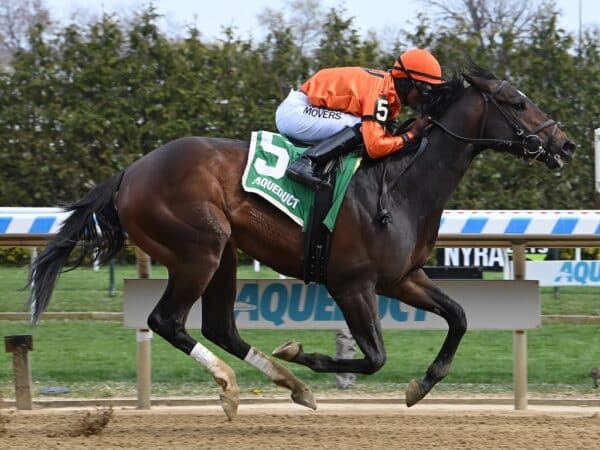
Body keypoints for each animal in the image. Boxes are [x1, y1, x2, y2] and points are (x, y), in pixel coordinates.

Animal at [29, 59, 576, 418]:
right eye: (518, 102)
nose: (566, 143)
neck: (402, 184)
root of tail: (130, 173)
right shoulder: (351, 283)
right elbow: (375, 357)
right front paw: (305, 355)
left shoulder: (402, 278)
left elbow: (459, 317)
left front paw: (422, 385)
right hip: (197, 249)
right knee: (167, 320)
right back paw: (234, 385)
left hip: (224, 254)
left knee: (221, 327)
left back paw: (290, 385)